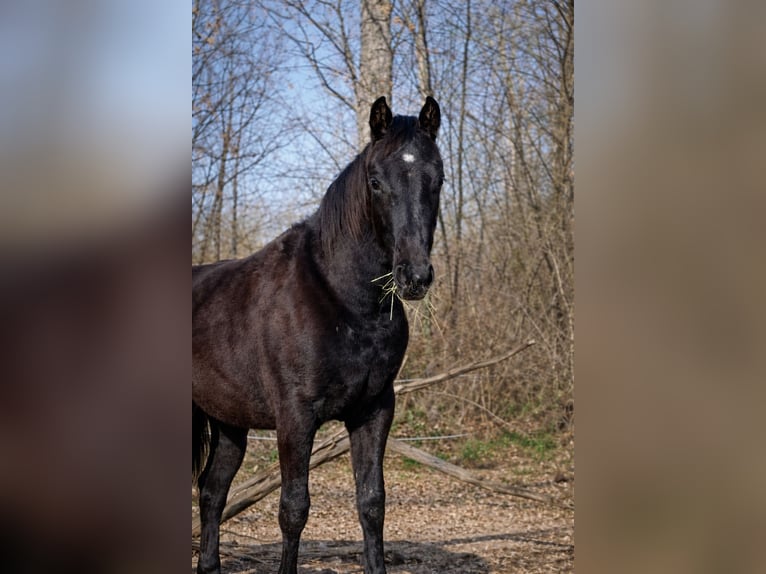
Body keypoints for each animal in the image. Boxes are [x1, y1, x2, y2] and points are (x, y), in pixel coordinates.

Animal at [192, 96, 443, 574]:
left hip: (228, 422)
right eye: (376, 182)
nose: (415, 276)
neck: (344, 299)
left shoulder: (374, 410)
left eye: (437, 179)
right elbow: (294, 508)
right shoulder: (296, 416)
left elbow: (372, 503)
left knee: (212, 492)